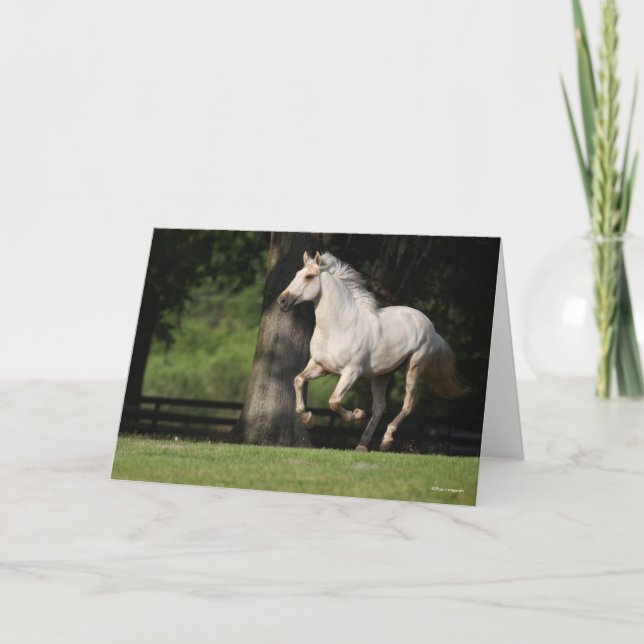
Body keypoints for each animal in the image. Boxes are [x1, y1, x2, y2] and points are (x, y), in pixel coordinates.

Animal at [278, 250, 465, 452]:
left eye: (309, 276)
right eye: (296, 274)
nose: (282, 301)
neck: (337, 328)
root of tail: (431, 328)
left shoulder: (351, 372)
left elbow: (334, 402)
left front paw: (357, 414)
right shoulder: (321, 366)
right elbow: (298, 380)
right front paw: (309, 419)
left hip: (414, 367)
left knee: (409, 402)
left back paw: (386, 440)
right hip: (382, 375)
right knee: (380, 407)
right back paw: (362, 445)